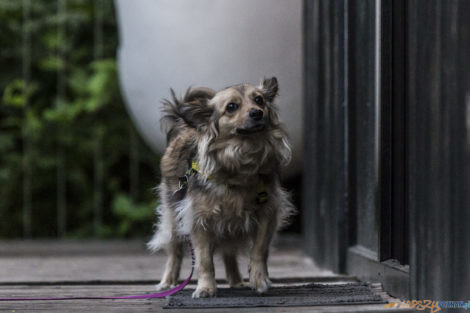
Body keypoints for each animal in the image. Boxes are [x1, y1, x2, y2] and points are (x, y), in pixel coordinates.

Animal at [148, 77, 294, 296]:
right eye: (231, 107)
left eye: (259, 100)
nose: (257, 112)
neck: (241, 157)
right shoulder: (197, 220)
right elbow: (204, 260)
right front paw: (206, 288)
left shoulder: (267, 214)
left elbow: (259, 251)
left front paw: (259, 280)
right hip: (174, 218)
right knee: (175, 252)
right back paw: (167, 282)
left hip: (229, 226)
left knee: (229, 253)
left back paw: (236, 281)